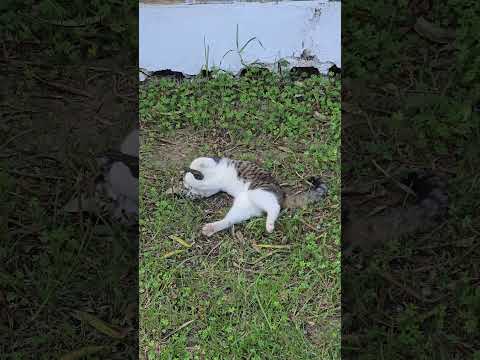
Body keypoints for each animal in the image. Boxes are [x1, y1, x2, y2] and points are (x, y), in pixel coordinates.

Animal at [182, 155, 328, 236]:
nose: (188, 191)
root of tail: (283, 193)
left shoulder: (211, 161)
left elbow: (196, 163)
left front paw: (190, 176)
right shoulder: (211, 188)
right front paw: (192, 190)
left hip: (258, 192)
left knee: (274, 207)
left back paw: (269, 225)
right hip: (245, 205)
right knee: (230, 220)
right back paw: (212, 228)